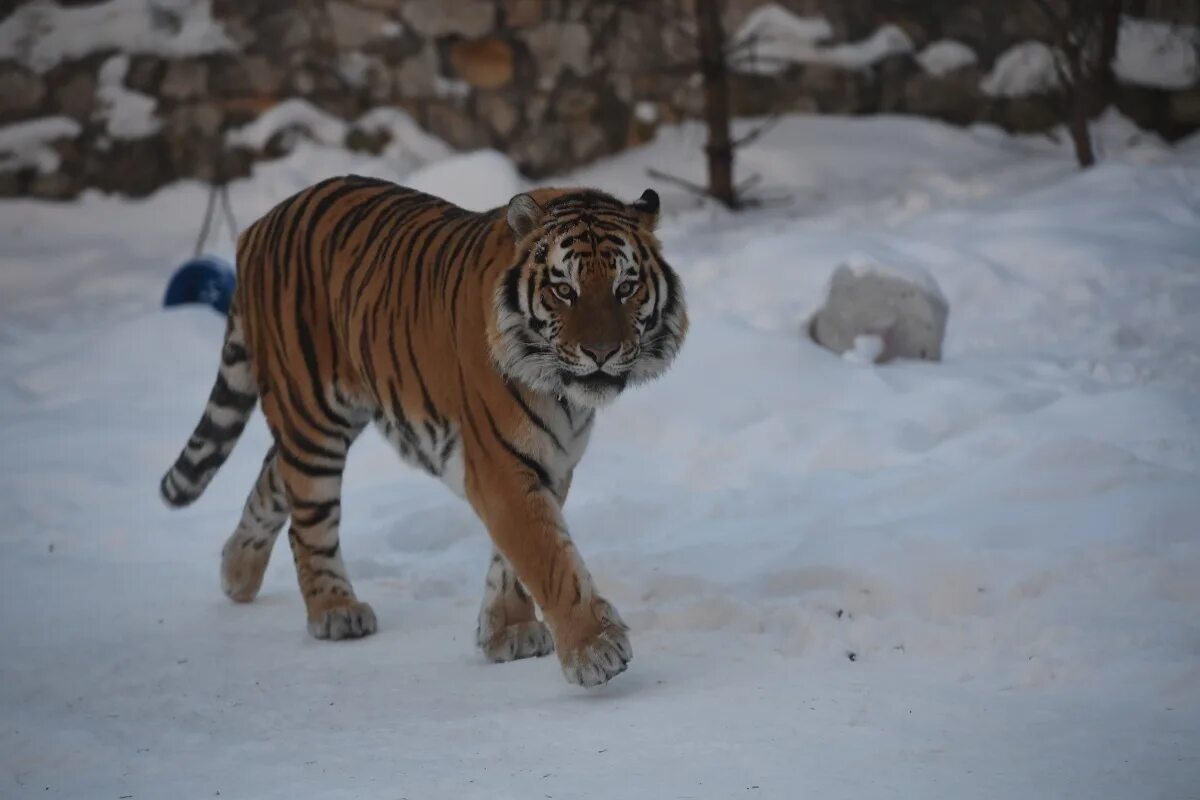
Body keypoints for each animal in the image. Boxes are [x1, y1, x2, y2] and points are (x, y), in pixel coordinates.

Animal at [160, 176, 691, 690]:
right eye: (564, 290)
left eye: (626, 287)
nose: (601, 352)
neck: (563, 393)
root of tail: (259, 226)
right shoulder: (500, 464)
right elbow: (548, 558)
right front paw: (594, 649)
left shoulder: (550, 462)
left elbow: (515, 560)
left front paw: (508, 630)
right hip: (313, 414)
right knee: (307, 520)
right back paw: (335, 610)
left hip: (324, 418)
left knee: (272, 477)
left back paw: (236, 572)